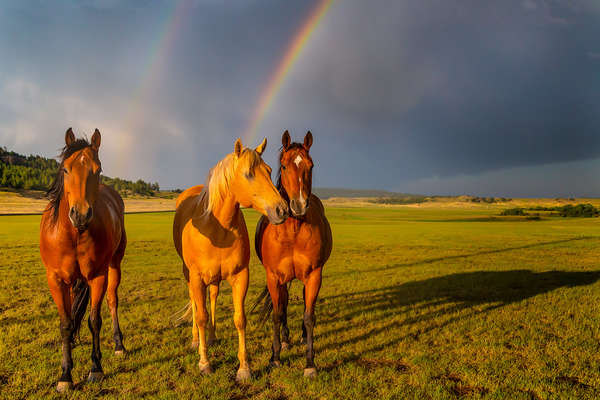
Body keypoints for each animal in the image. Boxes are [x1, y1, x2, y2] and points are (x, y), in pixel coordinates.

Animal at [39, 130, 126, 392]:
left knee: (112, 301)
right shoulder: (56, 280)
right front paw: (65, 374)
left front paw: (96, 368)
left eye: (98, 170)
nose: (80, 214)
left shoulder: (98, 276)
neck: (74, 234)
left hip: (114, 266)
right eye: (66, 169)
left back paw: (119, 345)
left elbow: (94, 320)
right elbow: (66, 324)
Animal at [172, 138, 290, 382]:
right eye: (248, 174)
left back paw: (212, 336)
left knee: (213, 297)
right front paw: (204, 363)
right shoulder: (196, 278)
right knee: (196, 304)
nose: (281, 210)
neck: (217, 227)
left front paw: (244, 368)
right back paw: (196, 340)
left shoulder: (240, 276)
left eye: (269, 170)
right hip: (189, 275)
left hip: (215, 279)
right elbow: (200, 316)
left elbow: (239, 319)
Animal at [253, 131, 332, 378]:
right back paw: (286, 341)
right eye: (284, 166)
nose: (299, 205)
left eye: (311, 165)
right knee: (284, 303)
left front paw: (310, 363)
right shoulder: (274, 277)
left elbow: (309, 316)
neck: (293, 230)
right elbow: (277, 314)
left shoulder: (314, 275)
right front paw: (275, 358)